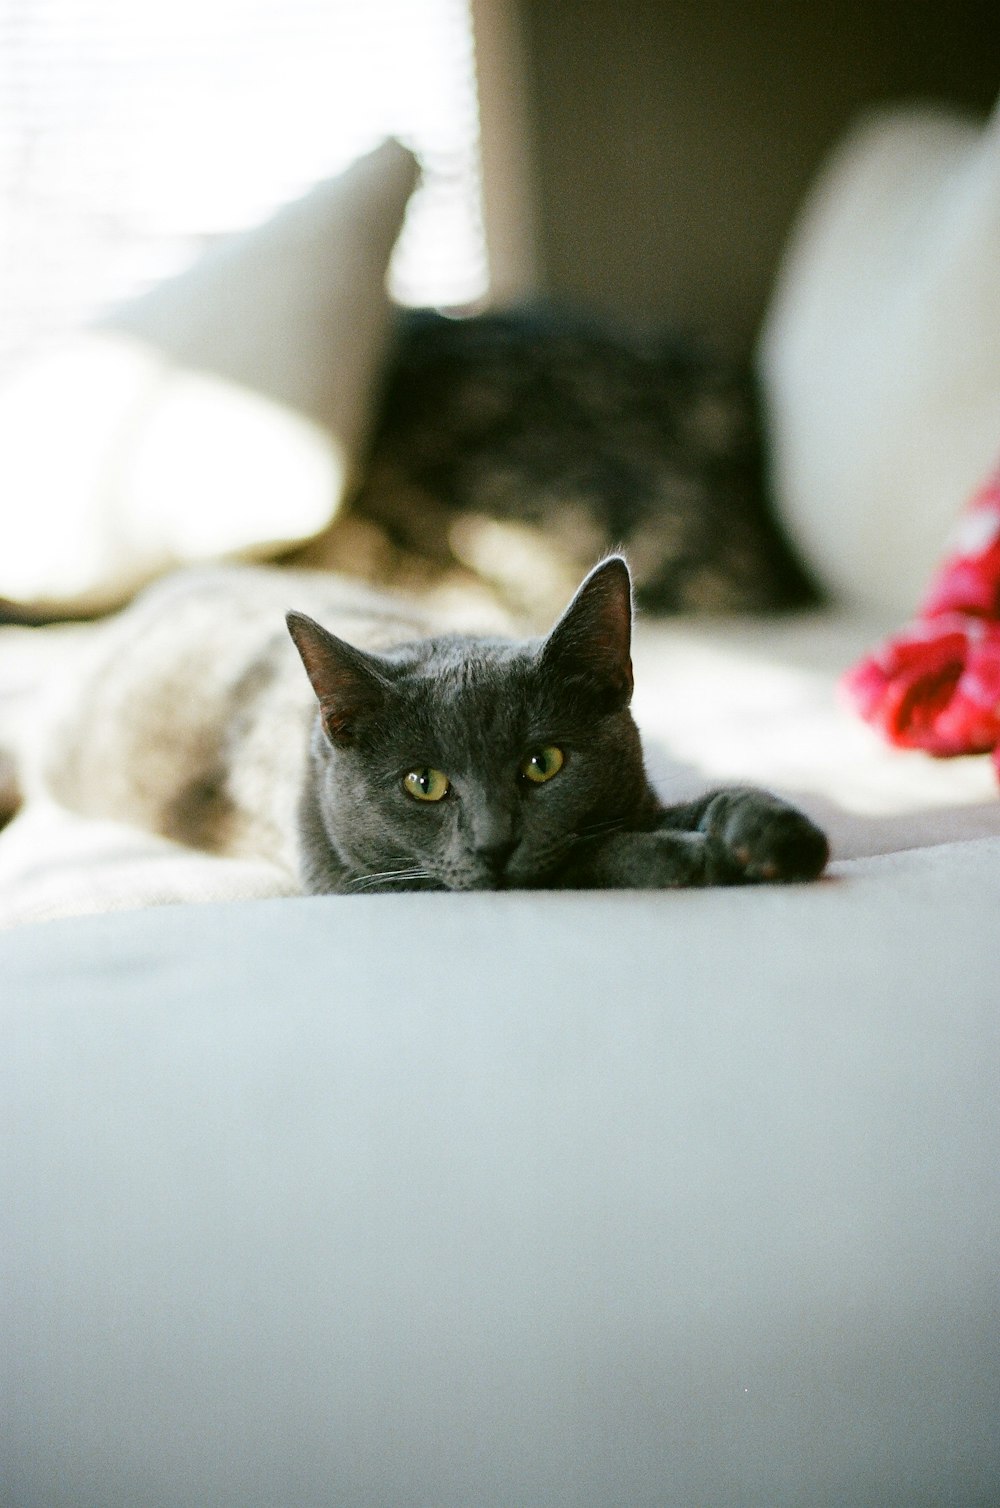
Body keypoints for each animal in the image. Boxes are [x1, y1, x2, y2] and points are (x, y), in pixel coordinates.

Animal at [33, 557, 826, 886]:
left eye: (544, 763)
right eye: (423, 784)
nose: (493, 845)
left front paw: (768, 831)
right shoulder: (360, 882)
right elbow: (579, 861)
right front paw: (688, 857)